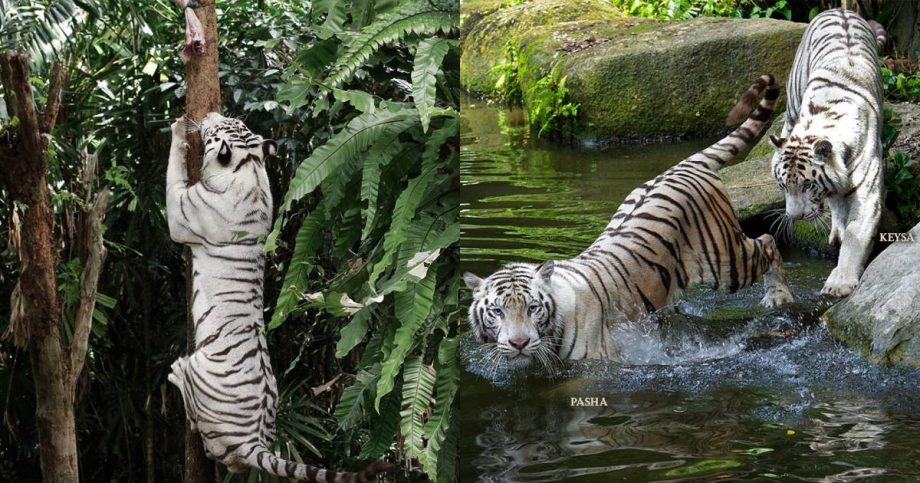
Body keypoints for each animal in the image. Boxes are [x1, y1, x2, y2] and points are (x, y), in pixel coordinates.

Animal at [165, 113, 390, 482]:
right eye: (230, 119)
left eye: (216, 128)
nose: (210, 115)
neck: (249, 166)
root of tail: (255, 442)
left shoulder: (181, 212)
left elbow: (172, 175)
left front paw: (178, 129)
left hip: (201, 368)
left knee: (202, 428)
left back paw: (177, 372)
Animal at [463, 75, 794, 367]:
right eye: (497, 312)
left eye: (533, 308)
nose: (519, 343)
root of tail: (683, 165)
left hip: (726, 261)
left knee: (767, 242)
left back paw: (780, 297)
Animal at [768, 8, 886, 297]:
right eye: (783, 186)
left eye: (807, 185)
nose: (794, 217)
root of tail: (839, 9)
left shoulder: (867, 192)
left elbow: (855, 236)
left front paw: (839, 283)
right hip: (791, 100)